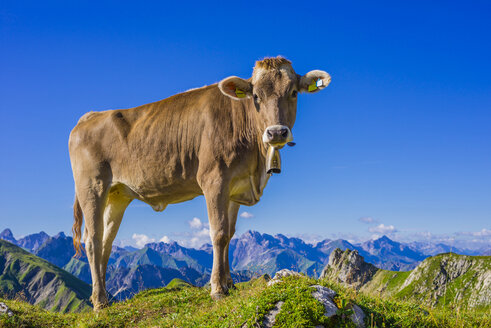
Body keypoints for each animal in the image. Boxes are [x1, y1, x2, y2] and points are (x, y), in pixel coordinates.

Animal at [68, 56, 330, 310]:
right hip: (91, 187)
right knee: (93, 241)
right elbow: (219, 233)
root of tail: (90, 116)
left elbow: (230, 234)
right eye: (256, 96)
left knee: (106, 242)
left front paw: (229, 284)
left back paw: (104, 296)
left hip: (117, 195)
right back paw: (99, 301)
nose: (276, 133)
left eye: (293, 92)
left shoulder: (235, 186)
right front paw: (217, 289)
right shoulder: (214, 180)